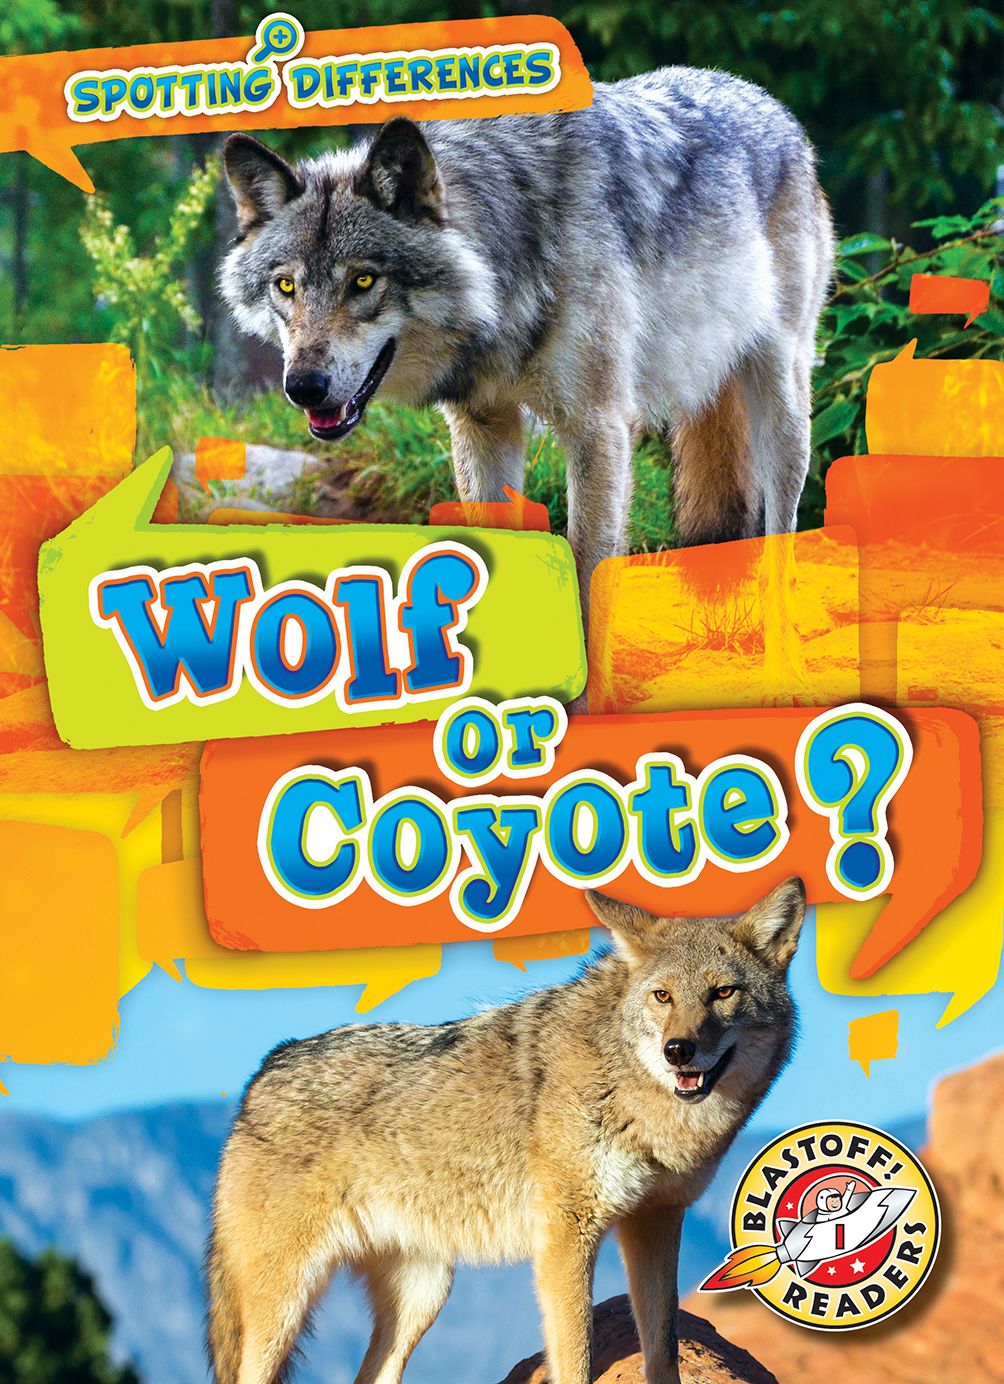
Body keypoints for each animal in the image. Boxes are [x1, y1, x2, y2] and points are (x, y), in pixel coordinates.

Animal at [206, 876, 806, 1384]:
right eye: (663, 996)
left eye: (723, 993)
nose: (678, 1050)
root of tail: (265, 1069)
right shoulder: (566, 1235)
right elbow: (576, 1359)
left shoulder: (656, 1218)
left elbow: (662, 1349)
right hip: (285, 1302)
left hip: (422, 1295)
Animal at [220, 68, 833, 613]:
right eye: (286, 286)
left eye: (364, 281)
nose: (303, 387)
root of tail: (768, 103)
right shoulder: (482, 426)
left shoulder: (599, 429)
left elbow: (588, 581)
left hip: (782, 406)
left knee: (782, 533)